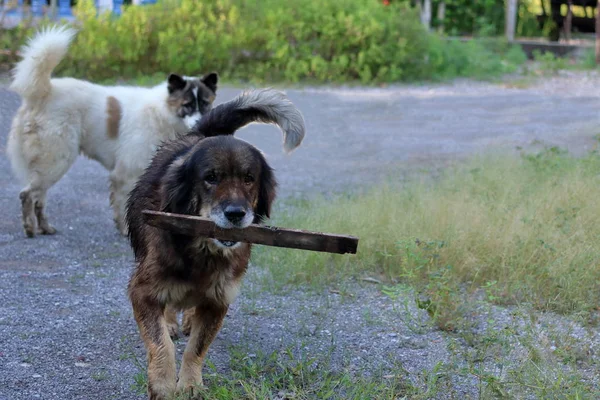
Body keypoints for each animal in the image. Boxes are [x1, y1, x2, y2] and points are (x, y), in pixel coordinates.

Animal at [6, 25, 218, 236]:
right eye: (187, 105)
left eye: (205, 104)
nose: (200, 120)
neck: (162, 111)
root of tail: (44, 92)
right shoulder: (125, 173)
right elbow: (122, 203)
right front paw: (125, 230)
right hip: (56, 160)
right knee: (27, 194)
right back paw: (30, 228)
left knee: (39, 196)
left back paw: (45, 227)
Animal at [126, 89, 304, 398]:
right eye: (210, 178)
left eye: (249, 179)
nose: (235, 214)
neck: (202, 252)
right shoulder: (142, 291)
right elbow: (161, 344)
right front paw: (162, 383)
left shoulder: (219, 300)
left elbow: (196, 348)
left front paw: (190, 384)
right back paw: (172, 320)